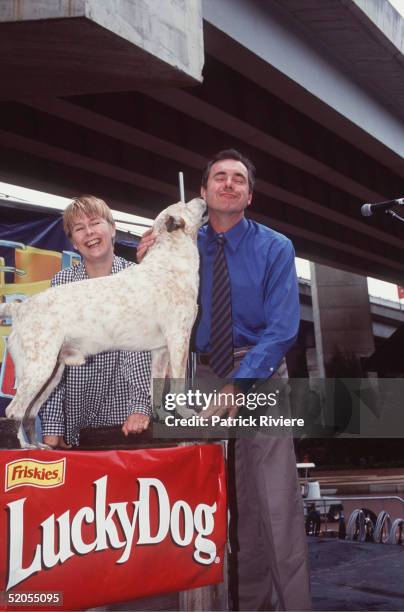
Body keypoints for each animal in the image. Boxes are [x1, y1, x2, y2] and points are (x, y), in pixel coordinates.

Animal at [0, 198, 207, 448]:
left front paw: (161, 415)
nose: (202, 199)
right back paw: (24, 447)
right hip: (39, 368)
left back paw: (39, 446)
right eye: (184, 204)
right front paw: (185, 413)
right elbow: (177, 386)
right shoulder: (179, 339)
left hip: (51, 374)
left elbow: (155, 388)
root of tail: (20, 308)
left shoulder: (161, 350)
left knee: (29, 412)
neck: (171, 262)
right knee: (14, 411)